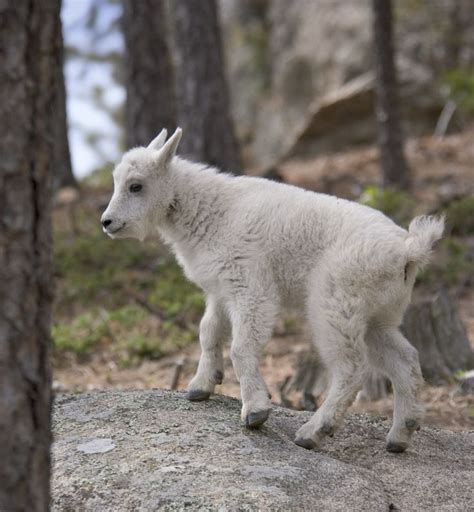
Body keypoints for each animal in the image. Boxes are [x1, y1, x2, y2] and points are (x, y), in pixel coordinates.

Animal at [101, 127, 444, 452]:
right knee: (405, 360)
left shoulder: (251, 288)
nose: (107, 222)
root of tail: (408, 251)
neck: (206, 210)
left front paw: (255, 411)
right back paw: (400, 435)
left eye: (135, 186)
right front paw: (201, 386)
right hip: (377, 317)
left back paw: (313, 432)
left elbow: (241, 347)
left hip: (334, 306)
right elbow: (208, 332)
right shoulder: (220, 290)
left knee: (351, 368)